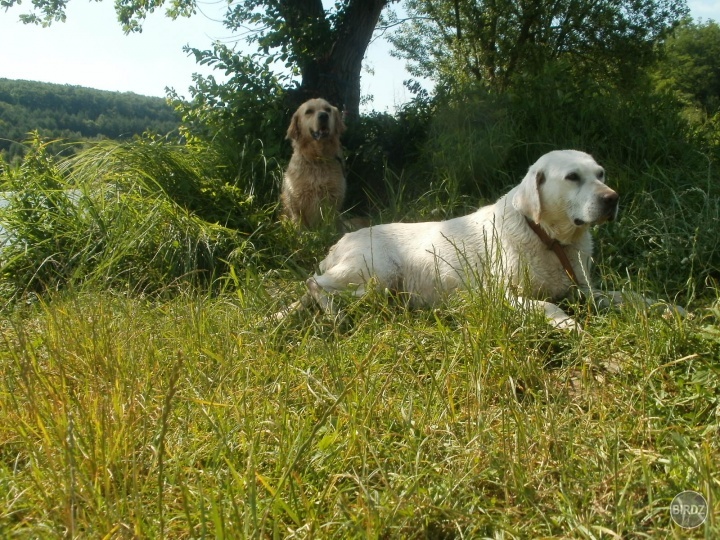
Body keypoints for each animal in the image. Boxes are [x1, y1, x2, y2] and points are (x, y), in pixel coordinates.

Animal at [276, 150, 680, 332]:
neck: (549, 240)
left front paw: (671, 309)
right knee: (314, 283)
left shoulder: (584, 290)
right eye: (572, 177)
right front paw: (570, 326)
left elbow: (629, 296)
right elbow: (550, 307)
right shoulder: (501, 295)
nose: (613, 199)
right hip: (375, 273)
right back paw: (335, 315)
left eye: (600, 174)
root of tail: (336, 244)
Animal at [280, 99, 348, 228]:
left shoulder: (333, 201)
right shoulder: (296, 205)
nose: (323, 116)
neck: (317, 159)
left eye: (327, 109)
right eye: (309, 111)